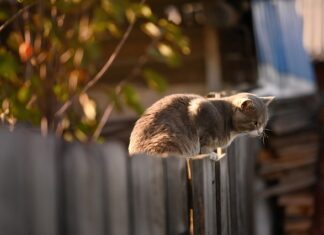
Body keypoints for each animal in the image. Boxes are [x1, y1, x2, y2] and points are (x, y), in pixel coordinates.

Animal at [129, 92, 274, 159]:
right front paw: (211, 154)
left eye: (264, 122)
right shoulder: (199, 108)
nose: (261, 131)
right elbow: (203, 143)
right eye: (255, 123)